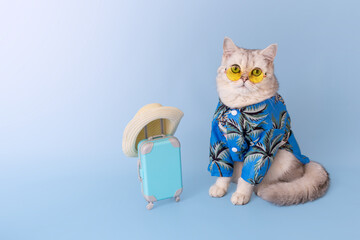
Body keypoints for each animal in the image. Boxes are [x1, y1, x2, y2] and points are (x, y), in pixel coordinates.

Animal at [208, 38, 330, 206]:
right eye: (235, 69)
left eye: (256, 72)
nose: (244, 78)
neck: (240, 107)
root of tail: (305, 164)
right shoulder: (219, 141)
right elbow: (222, 170)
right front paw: (220, 187)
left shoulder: (263, 145)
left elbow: (248, 176)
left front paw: (241, 194)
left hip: (283, 157)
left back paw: (262, 187)